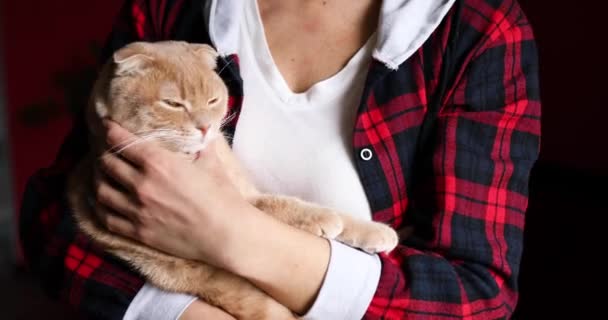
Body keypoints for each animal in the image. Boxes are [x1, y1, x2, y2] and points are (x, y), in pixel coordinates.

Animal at [67, 41, 400, 318]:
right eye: (173, 104)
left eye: (213, 100)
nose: (204, 128)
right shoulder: (243, 203)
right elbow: (286, 207)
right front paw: (326, 220)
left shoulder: (247, 194)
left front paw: (375, 232)